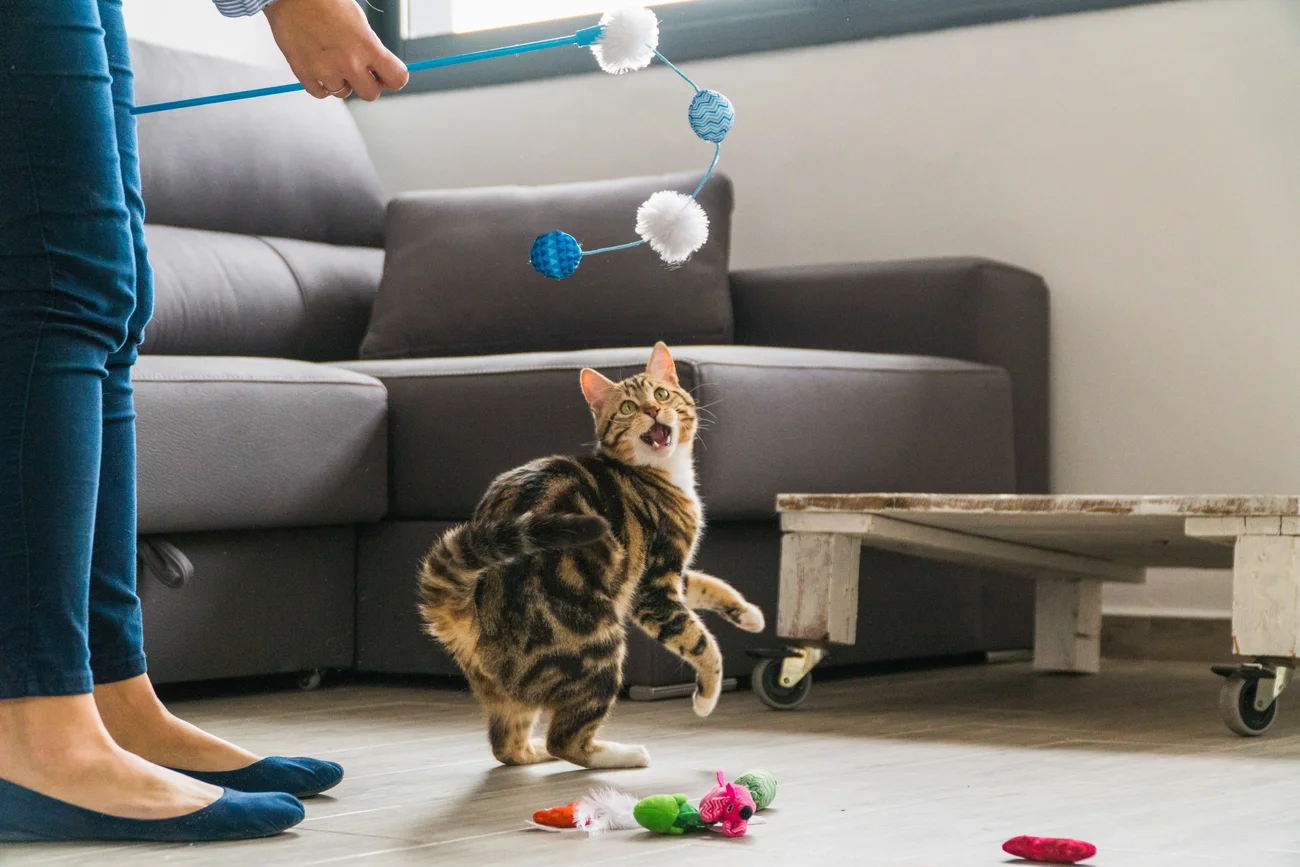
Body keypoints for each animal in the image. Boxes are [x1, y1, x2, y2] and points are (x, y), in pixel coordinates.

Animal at [416, 343, 759, 769]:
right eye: (628, 407)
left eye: (661, 394)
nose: (651, 410)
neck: (660, 474)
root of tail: (471, 617)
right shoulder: (653, 588)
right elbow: (700, 641)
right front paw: (706, 696)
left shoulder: (663, 579)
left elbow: (710, 584)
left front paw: (749, 614)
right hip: (596, 646)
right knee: (566, 741)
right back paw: (625, 755)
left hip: (508, 688)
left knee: (507, 746)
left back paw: (533, 750)